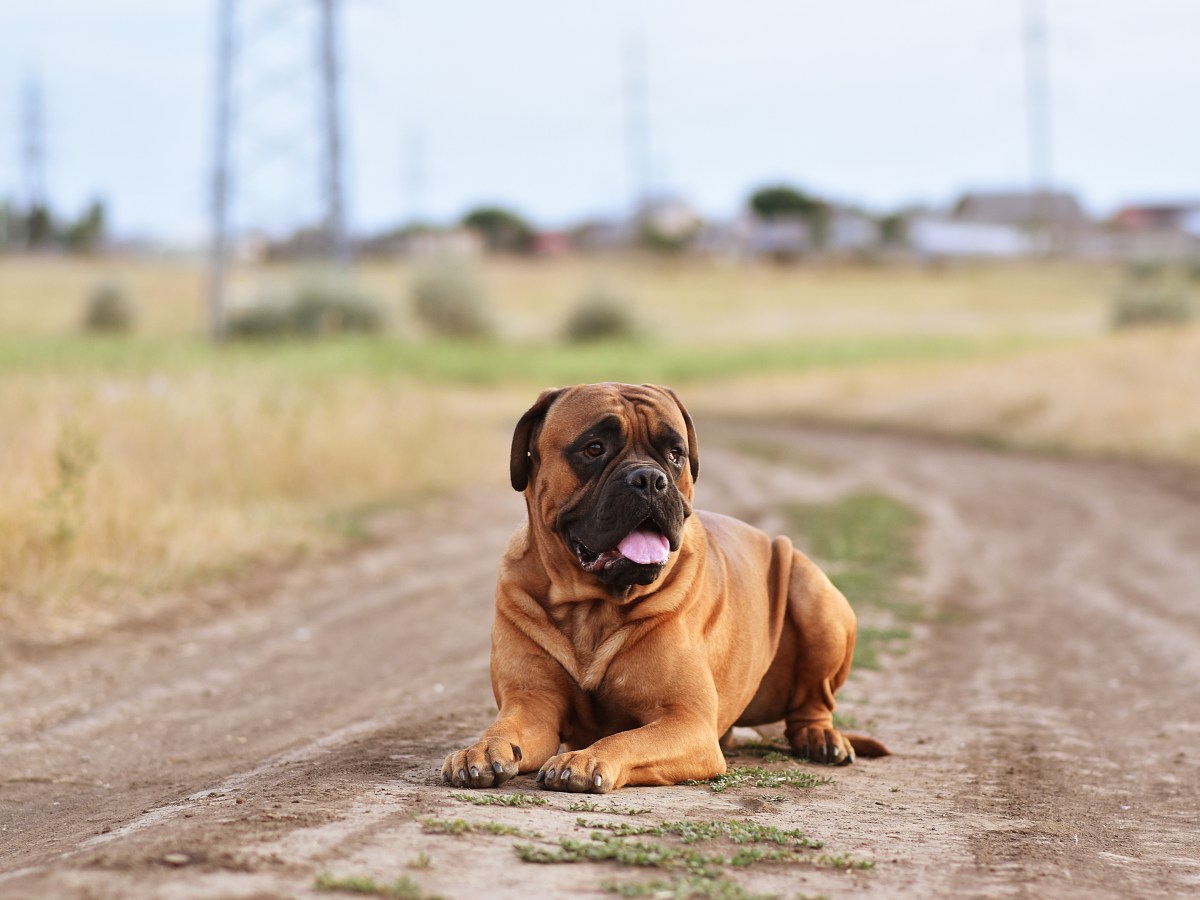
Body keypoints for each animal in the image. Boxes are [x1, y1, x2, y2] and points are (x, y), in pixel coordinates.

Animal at [441, 384, 883, 792]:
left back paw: (821, 737)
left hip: (813, 594)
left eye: (675, 454)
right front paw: (481, 748)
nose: (649, 479)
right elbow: (505, 728)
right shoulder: (531, 703)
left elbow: (627, 739)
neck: (593, 605)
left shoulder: (686, 722)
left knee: (813, 702)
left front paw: (585, 759)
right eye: (594, 448)